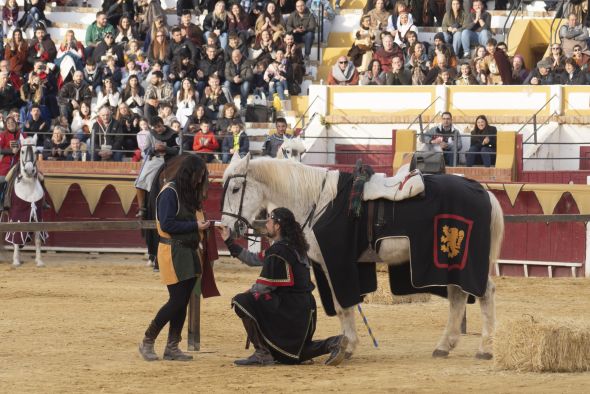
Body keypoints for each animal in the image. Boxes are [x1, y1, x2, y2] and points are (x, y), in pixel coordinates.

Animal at [6, 135, 46, 268]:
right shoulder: (17, 217)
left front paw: (39, 260)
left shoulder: (38, 216)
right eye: (22, 151)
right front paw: (16, 260)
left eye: (36, 152)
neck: (28, 184)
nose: (29, 170)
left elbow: (38, 239)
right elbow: (16, 237)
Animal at [222, 153, 504, 360]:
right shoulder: (326, 266)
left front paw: (347, 346)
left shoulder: (337, 264)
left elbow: (342, 306)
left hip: (465, 261)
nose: (227, 226)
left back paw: (485, 348)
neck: (319, 200)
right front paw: (347, 345)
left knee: (484, 294)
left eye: (235, 188)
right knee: (458, 297)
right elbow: (341, 307)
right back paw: (445, 346)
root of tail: (484, 192)